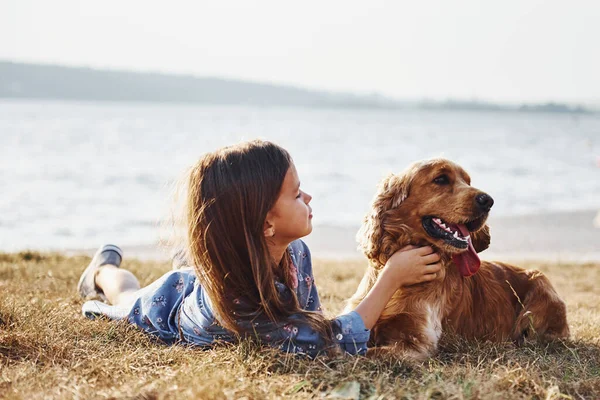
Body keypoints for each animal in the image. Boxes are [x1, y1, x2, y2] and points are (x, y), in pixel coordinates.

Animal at [344, 159, 568, 360]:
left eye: (468, 181)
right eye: (441, 179)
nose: (488, 201)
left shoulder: (416, 343)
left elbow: (360, 354)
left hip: (540, 292)